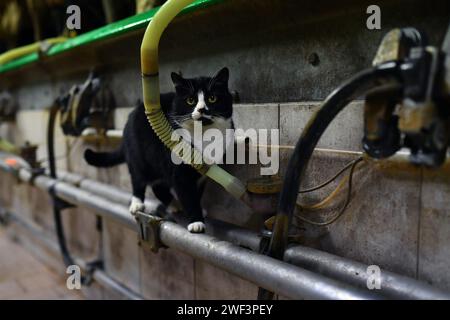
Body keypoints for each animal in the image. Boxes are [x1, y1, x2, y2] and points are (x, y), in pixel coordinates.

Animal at [83, 67, 236, 232]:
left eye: (212, 98)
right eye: (190, 100)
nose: (201, 109)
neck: (203, 134)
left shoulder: (204, 172)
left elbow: (197, 193)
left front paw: (199, 210)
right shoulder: (179, 172)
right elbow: (188, 195)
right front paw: (196, 221)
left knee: (158, 186)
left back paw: (174, 204)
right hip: (138, 157)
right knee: (138, 179)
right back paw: (137, 203)